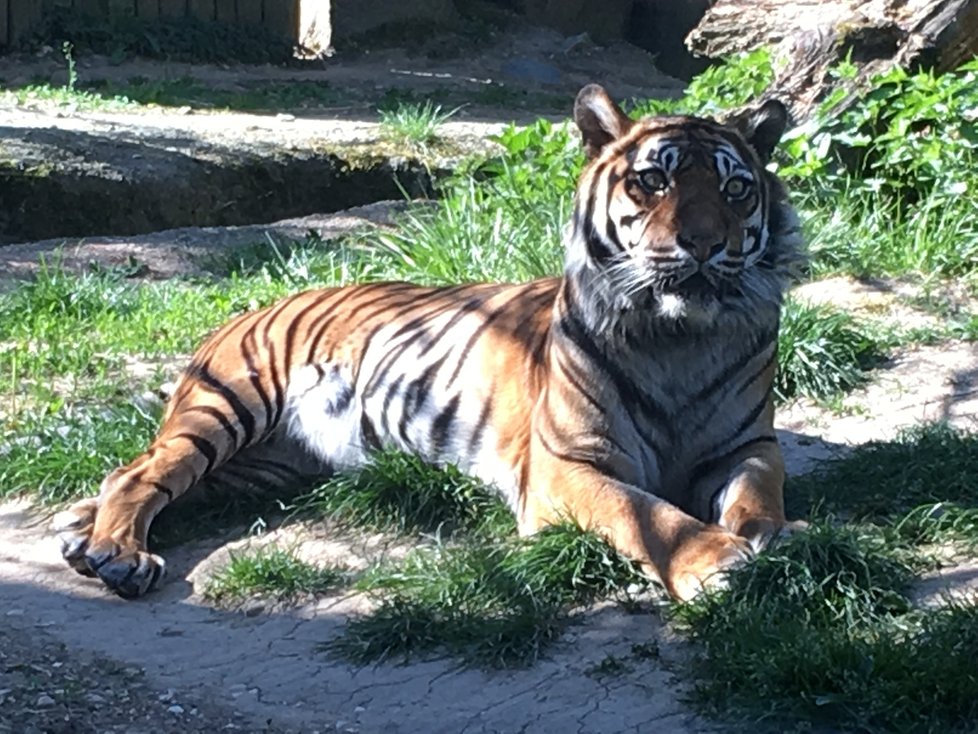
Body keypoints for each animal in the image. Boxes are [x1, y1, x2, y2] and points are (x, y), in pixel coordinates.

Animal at [49, 86, 804, 604]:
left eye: (736, 189)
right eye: (653, 180)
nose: (704, 243)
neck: (680, 338)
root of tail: (260, 302)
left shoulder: (747, 446)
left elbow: (759, 495)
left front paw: (777, 535)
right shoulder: (569, 466)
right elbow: (648, 514)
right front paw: (718, 560)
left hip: (266, 465)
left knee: (143, 476)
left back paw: (82, 533)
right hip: (228, 404)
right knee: (143, 472)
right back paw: (118, 554)